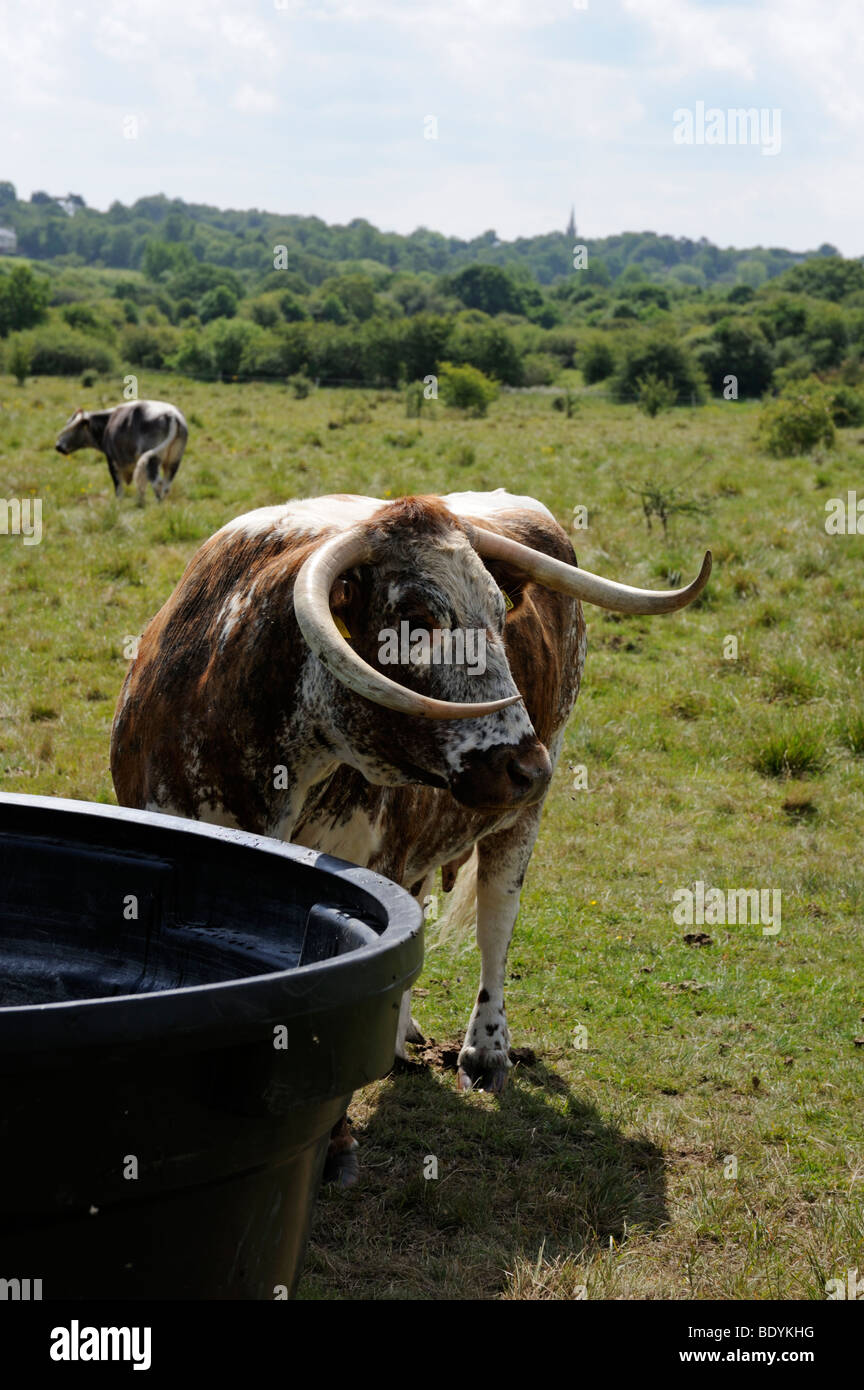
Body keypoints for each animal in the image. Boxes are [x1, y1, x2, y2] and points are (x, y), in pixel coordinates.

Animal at [56, 400, 188, 503]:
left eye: (74, 427)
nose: (58, 446)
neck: (108, 422)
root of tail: (171, 414)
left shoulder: (112, 460)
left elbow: (118, 486)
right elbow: (140, 485)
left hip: (153, 460)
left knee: (157, 483)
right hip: (174, 461)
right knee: (166, 486)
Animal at [111, 494, 716, 1100]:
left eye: (500, 617)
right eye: (419, 622)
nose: (529, 768)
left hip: (519, 821)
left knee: (495, 923)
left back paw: (485, 1049)